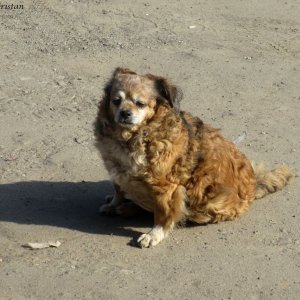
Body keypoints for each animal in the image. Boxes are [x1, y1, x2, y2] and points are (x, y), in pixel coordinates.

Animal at [94, 68, 292, 248]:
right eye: (116, 101)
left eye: (140, 103)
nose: (125, 112)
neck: (131, 137)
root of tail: (253, 185)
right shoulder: (118, 172)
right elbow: (118, 190)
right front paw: (115, 203)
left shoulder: (165, 187)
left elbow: (162, 213)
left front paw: (155, 234)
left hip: (210, 204)